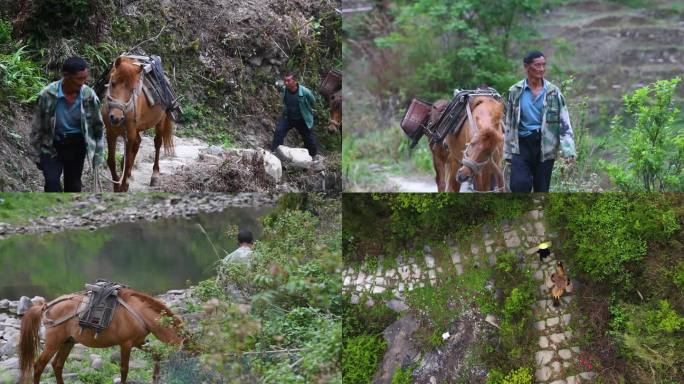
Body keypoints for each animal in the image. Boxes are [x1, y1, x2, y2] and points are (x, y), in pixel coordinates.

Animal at [19, 290, 184, 382]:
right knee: (39, 366)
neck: (138, 313)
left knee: (57, 365)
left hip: (68, 342)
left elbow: (157, 356)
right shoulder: (126, 344)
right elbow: (124, 370)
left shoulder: (140, 342)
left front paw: (156, 378)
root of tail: (46, 306)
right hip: (53, 343)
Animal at [103, 56, 175, 192]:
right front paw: (117, 186)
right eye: (113, 83)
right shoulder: (110, 133)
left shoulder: (130, 133)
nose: (116, 117)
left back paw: (155, 175)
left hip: (160, 122)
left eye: (132, 89)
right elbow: (111, 160)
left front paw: (123, 186)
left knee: (157, 144)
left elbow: (127, 161)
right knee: (138, 143)